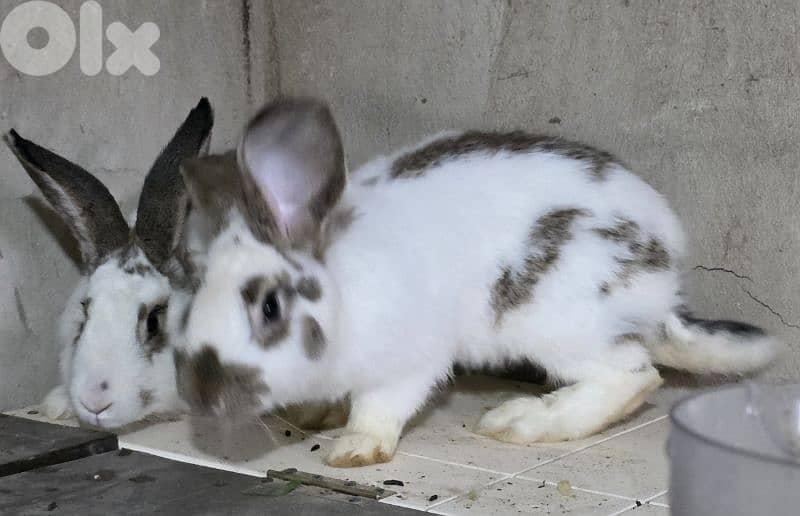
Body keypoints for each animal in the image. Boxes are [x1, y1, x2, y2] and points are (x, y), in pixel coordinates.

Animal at [174, 97, 779, 467]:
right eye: (196, 294)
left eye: (270, 307)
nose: (198, 395)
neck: (345, 290)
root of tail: (664, 282)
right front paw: (310, 416)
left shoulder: (409, 359)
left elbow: (380, 406)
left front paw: (354, 449)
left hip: (556, 322)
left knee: (635, 376)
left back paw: (521, 422)